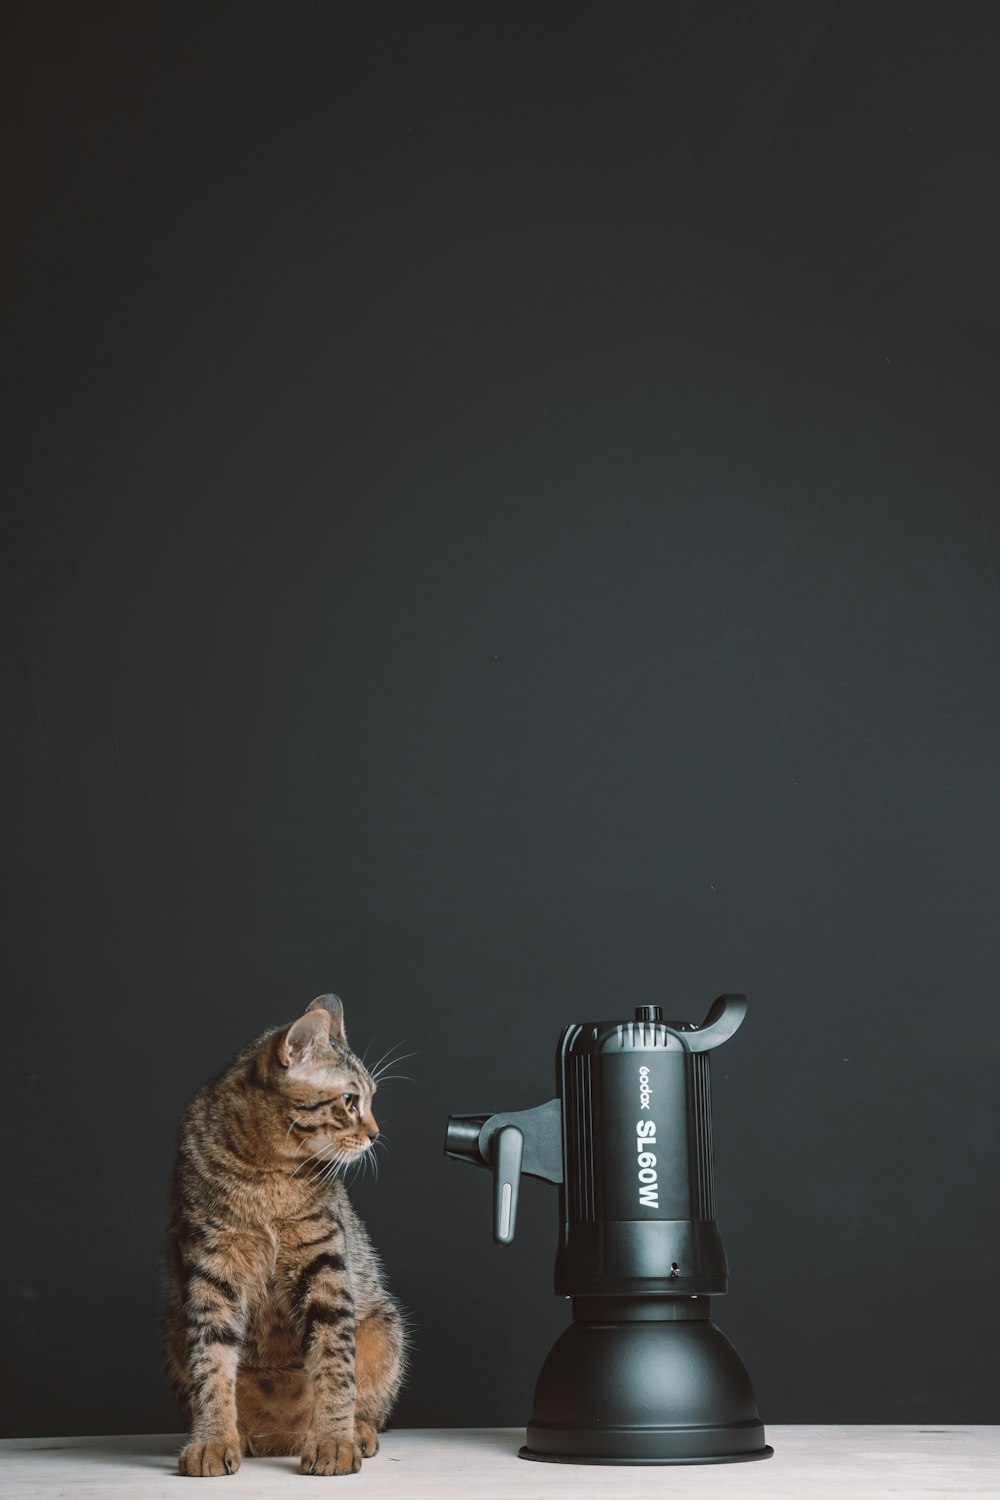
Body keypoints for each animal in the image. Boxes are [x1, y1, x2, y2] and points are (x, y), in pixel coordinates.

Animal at [162, 996, 404, 1476]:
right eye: (350, 1100)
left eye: (370, 1099)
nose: (375, 1134)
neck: (265, 1173)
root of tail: (282, 1438)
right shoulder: (211, 1269)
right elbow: (210, 1365)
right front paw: (212, 1439)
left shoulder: (323, 1263)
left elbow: (334, 1362)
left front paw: (332, 1441)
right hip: (173, 1327)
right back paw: (240, 1436)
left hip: (385, 1329)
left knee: (367, 1398)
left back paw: (357, 1432)